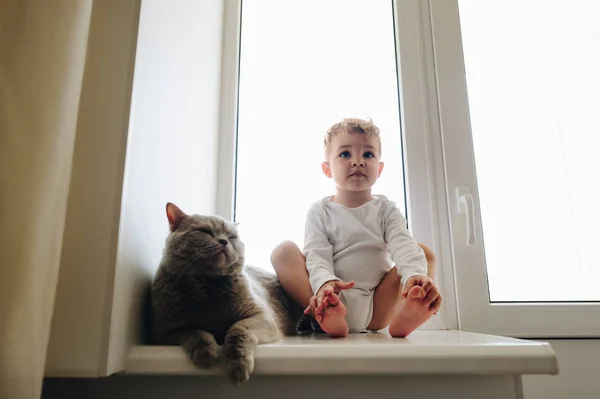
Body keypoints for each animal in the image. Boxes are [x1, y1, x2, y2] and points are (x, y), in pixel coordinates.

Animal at [149, 203, 300, 384]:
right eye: (205, 231)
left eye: (232, 237)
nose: (224, 241)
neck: (208, 287)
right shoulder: (163, 331)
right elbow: (193, 330)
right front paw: (206, 353)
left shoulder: (262, 317)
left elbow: (238, 329)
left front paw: (237, 365)